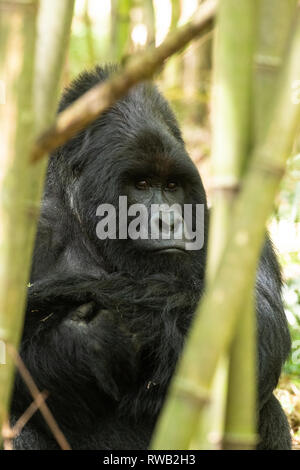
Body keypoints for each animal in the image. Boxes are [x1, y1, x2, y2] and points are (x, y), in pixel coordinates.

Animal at [11, 64, 290, 450]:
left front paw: (136, 317)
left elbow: (258, 324)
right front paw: (86, 341)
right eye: (140, 185)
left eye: (171, 186)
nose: (168, 221)